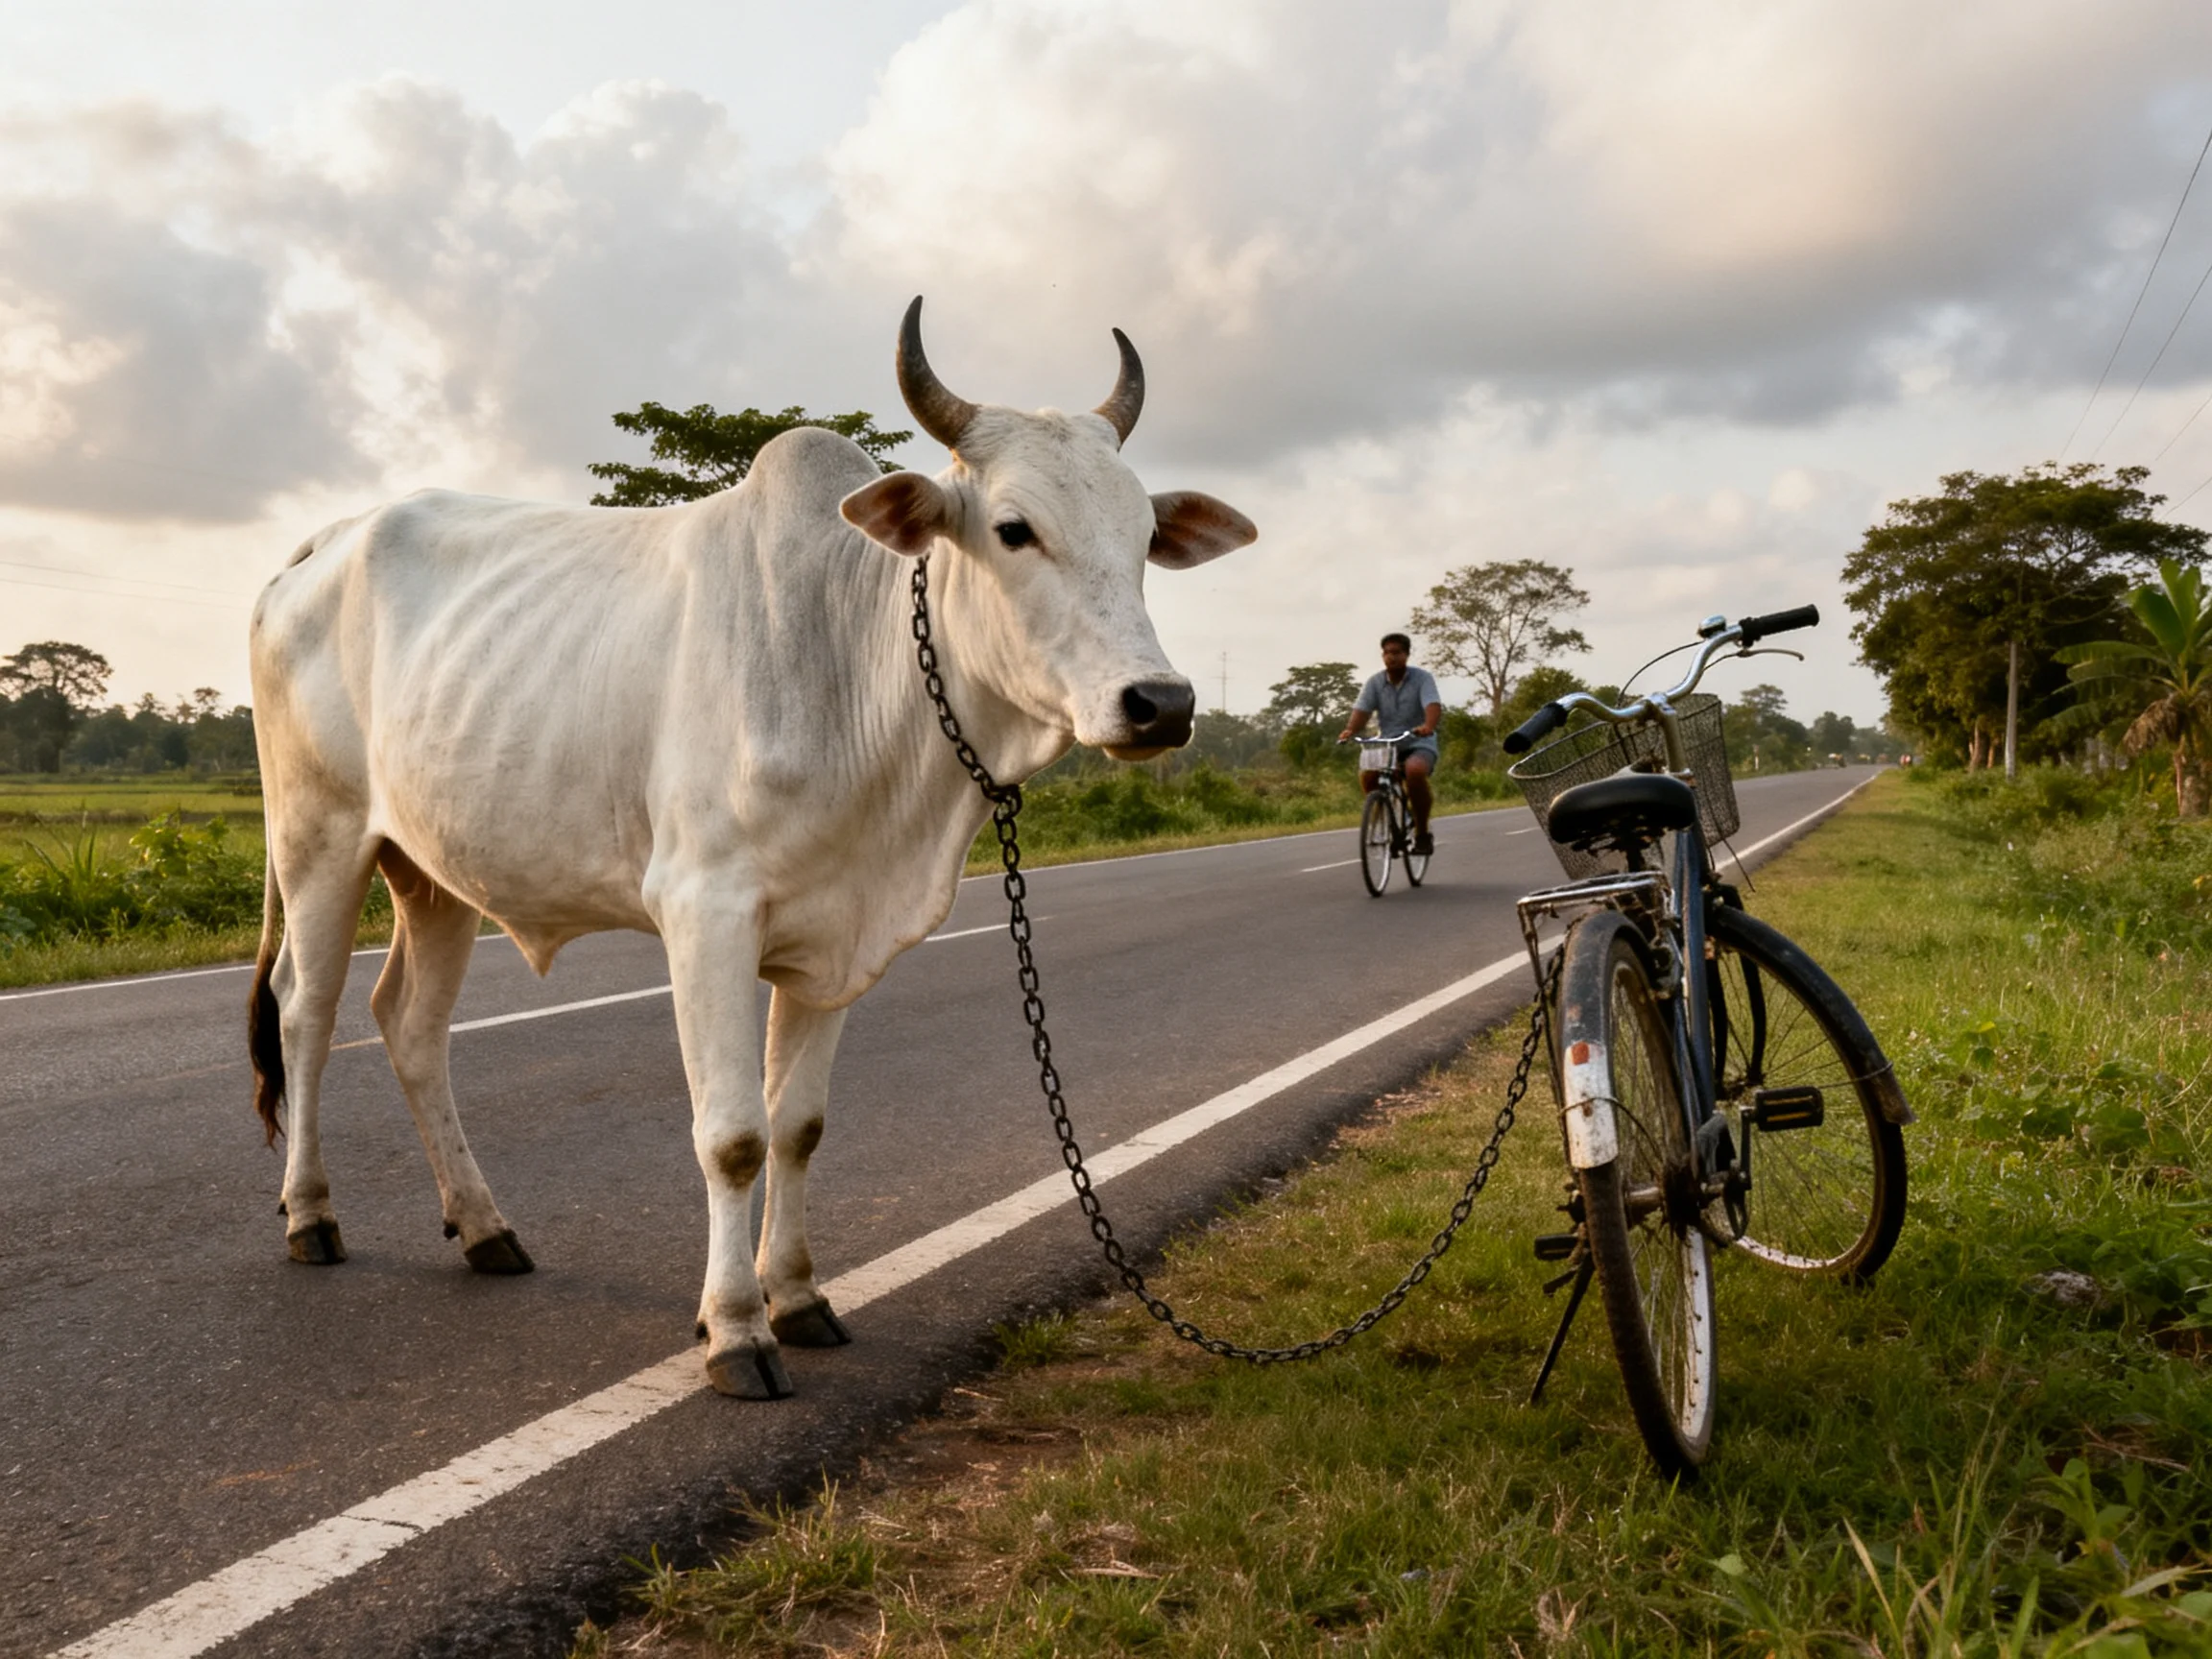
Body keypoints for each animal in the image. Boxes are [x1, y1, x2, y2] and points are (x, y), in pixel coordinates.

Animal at [245, 298, 1257, 1398]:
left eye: (1146, 536)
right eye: (1013, 529)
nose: (1160, 703)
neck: (852, 663)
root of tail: (319, 545)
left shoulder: (837, 935)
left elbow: (798, 1126)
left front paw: (800, 1298)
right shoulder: (706, 914)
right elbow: (733, 1137)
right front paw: (735, 1331)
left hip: (433, 873)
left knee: (410, 1025)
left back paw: (484, 1229)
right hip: (319, 838)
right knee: (307, 1013)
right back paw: (311, 1215)